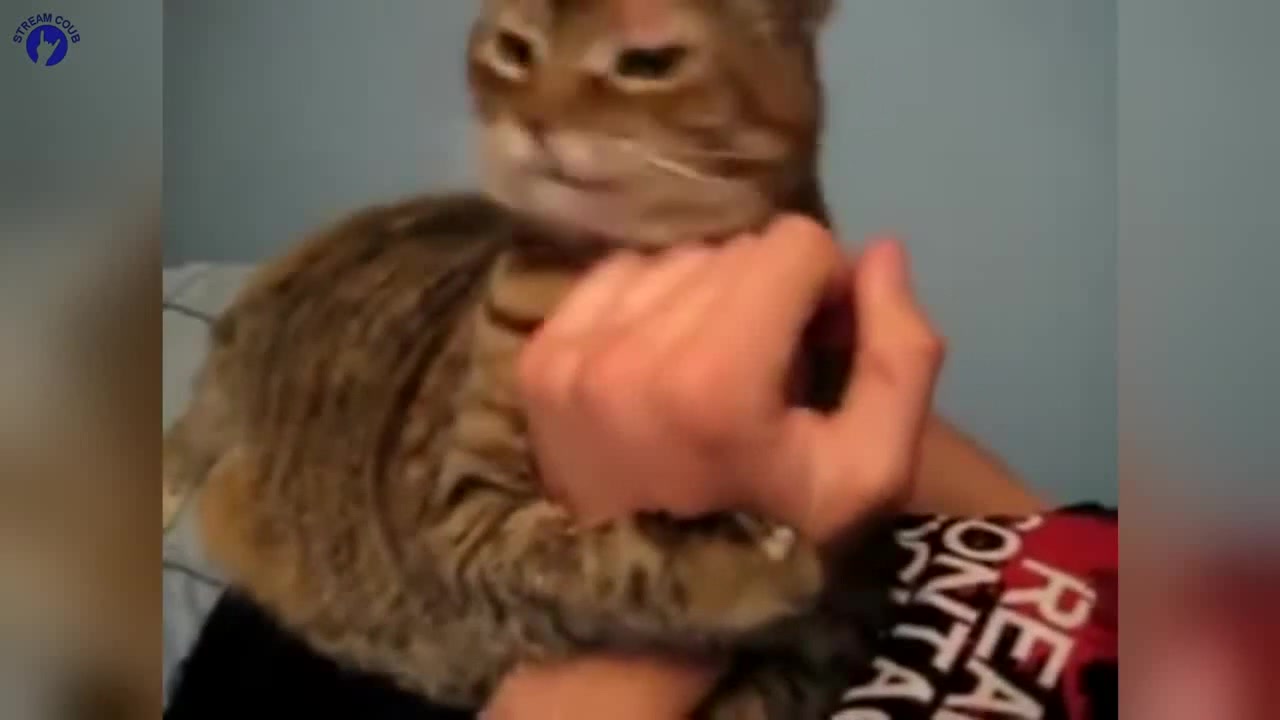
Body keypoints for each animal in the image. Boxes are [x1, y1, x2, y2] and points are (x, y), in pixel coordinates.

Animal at [164, 1, 895, 717]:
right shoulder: (462, 516)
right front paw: (741, 562)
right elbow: (597, 561)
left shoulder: (834, 643)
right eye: (515, 50)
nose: (536, 121)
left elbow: (762, 688)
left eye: (648, 61)